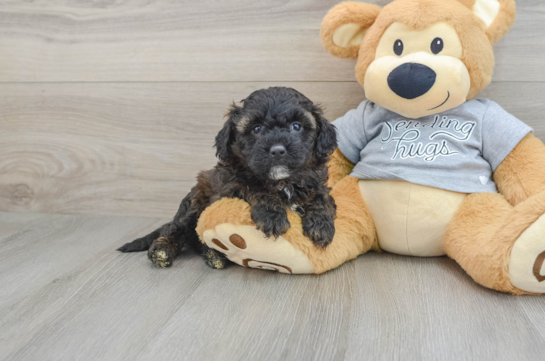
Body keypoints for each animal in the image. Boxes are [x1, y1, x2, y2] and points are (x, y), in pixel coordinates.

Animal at [119, 87, 336, 268]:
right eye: (256, 129)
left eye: (296, 126)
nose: (277, 150)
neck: (281, 181)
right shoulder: (230, 185)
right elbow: (254, 188)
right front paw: (272, 215)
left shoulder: (315, 181)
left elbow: (321, 196)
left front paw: (321, 224)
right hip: (194, 203)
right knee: (176, 229)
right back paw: (164, 249)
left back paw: (214, 255)